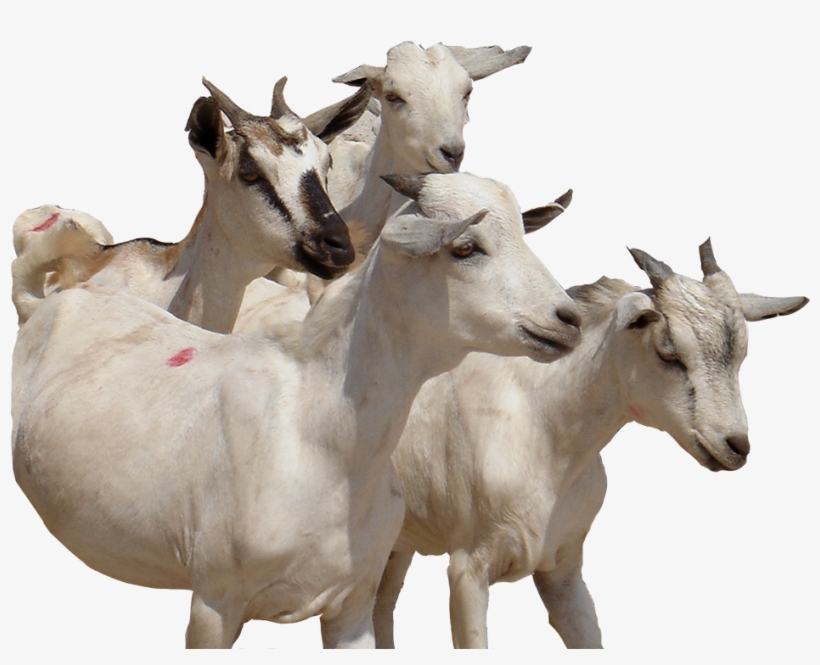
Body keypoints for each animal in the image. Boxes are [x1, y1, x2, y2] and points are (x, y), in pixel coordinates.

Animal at [12, 172, 581, 648]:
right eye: (465, 247)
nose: (568, 319)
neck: (317, 428)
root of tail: (48, 302)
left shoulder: (353, 605)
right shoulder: (214, 602)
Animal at [373, 239, 808, 649]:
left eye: (740, 357)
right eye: (668, 351)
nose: (734, 446)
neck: (542, 425)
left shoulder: (562, 569)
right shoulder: (468, 570)